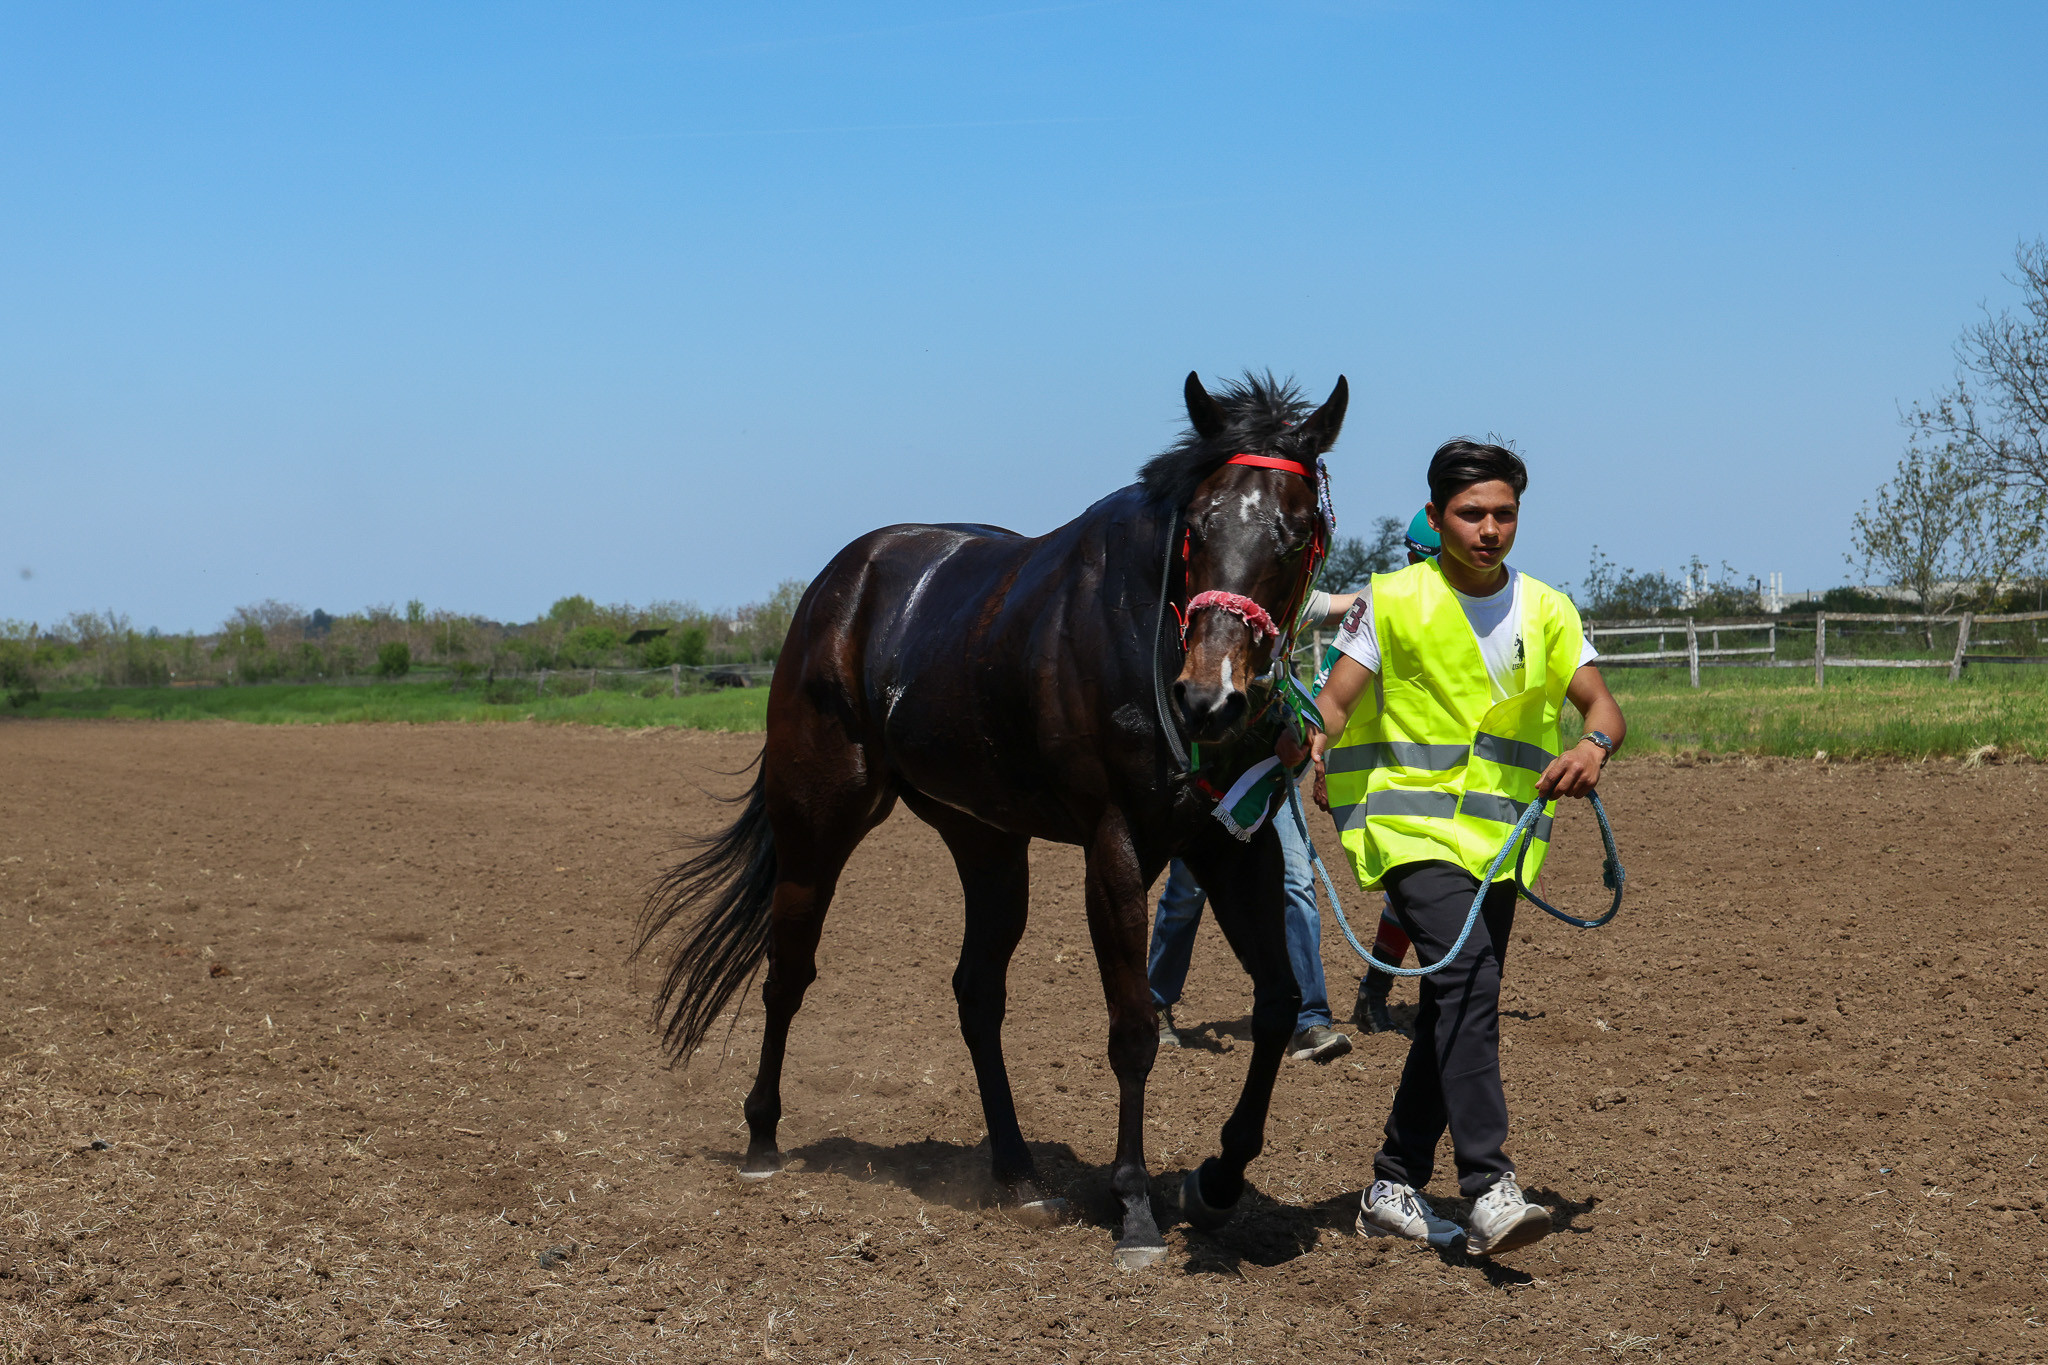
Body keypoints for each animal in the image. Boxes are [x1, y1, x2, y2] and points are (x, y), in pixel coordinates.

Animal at [639, 371, 1349, 1268]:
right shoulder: (1115, 846)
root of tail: (838, 586)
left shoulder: (1230, 843)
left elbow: (1278, 1004)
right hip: (815, 826)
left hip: (985, 838)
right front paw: (1135, 1206)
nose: (1209, 697)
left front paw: (1218, 1181)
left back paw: (1015, 1172)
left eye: (1294, 536)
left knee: (977, 991)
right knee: (788, 972)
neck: (1143, 636)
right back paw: (763, 1139)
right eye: (1198, 525)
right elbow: (1133, 1026)